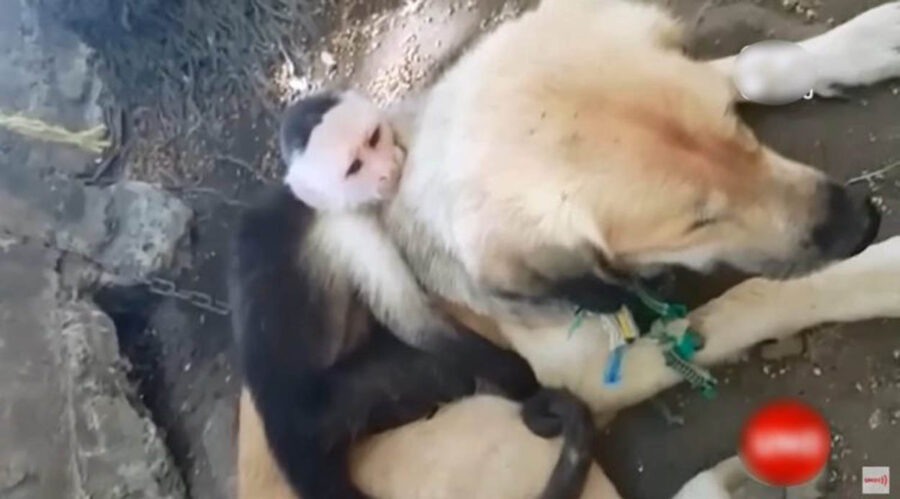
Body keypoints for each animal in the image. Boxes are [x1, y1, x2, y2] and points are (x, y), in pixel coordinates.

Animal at [232, 91, 608, 499]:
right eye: (354, 167)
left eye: (374, 138)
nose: (386, 168)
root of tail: (281, 429)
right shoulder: (351, 228)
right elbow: (413, 320)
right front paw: (520, 376)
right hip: (328, 406)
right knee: (433, 373)